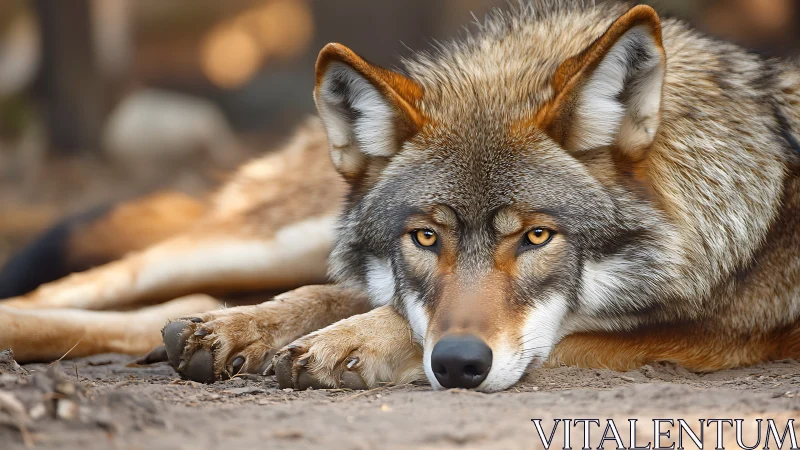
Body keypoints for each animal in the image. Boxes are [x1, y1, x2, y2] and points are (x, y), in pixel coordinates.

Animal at [1, 1, 799, 392]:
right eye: (425, 236)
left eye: (536, 237)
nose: (460, 366)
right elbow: (334, 299)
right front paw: (269, 332)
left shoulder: (714, 337)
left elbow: (381, 312)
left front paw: (341, 342)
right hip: (264, 238)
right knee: (94, 285)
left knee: (151, 312)